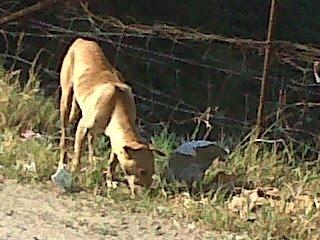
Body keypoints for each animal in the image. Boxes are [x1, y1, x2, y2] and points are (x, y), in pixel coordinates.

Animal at [59, 37, 164, 195]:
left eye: (152, 172)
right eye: (142, 171)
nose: (147, 195)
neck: (117, 104)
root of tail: (82, 40)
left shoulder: (116, 140)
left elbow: (112, 162)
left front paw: (109, 180)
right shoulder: (82, 128)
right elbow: (77, 155)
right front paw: (74, 173)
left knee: (91, 140)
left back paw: (92, 161)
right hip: (66, 99)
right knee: (65, 136)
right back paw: (63, 160)